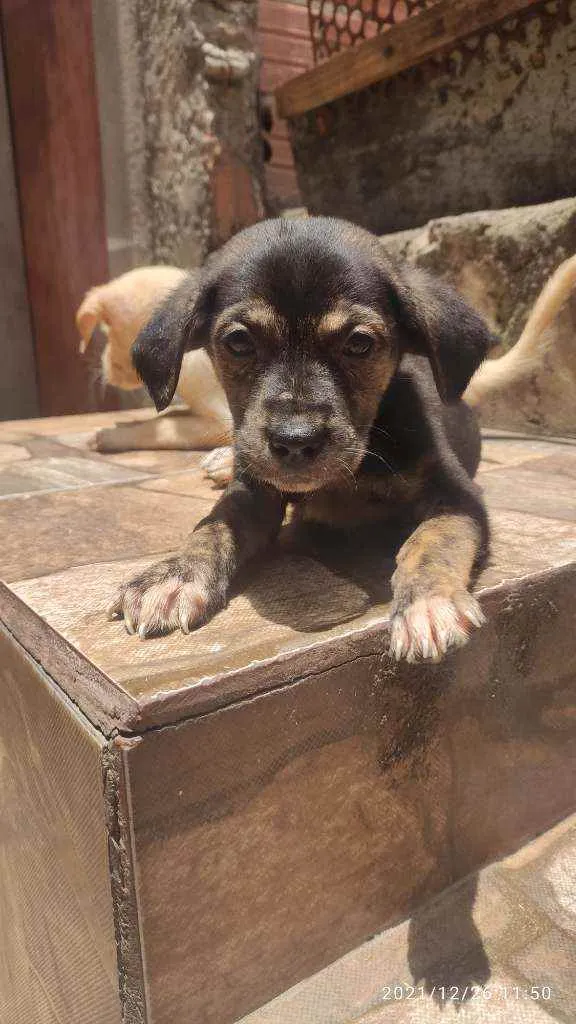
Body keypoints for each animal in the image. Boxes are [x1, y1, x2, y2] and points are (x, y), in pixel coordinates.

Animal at [76, 266, 233, 468]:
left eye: (108, 331)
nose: (106, 371)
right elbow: (168, 415)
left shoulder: (221, 422)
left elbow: (159, 429)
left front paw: (106, 436)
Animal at [108, 217, 494, 663]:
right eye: (238, 342)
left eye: (359, 343)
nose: (295, 442)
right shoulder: (254, 490)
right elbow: (215, 523)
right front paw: (176, 574)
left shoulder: (458, 494)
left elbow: (434, 539)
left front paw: (427, 603)